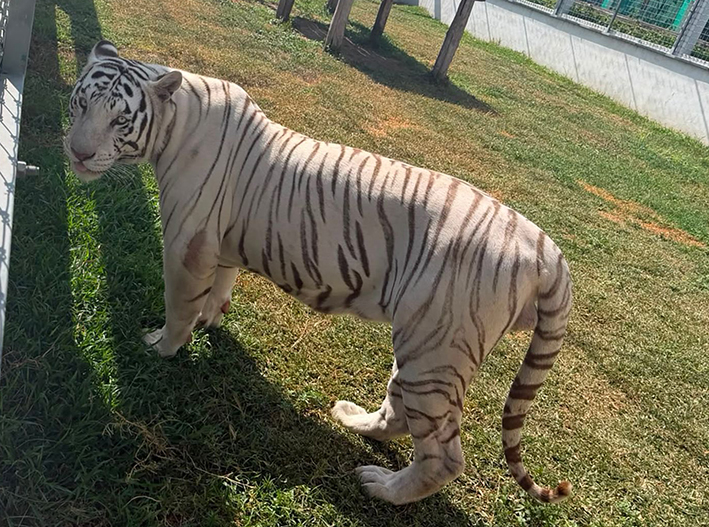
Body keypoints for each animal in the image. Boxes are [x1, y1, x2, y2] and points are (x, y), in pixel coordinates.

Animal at [64, 40, 573, 506]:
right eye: (81, 103)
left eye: (120, 120)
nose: (78, 153)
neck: (176, 120)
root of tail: (546, 248)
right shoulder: (221, 243)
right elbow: (220, 288)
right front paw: (212, 320)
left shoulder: (187, 245)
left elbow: (179, 306)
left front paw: (161, 346)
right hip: (422, 346)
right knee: (400, 412)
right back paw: (353, 420)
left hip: (437, 347)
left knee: (444, 455)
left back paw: (382, 487)